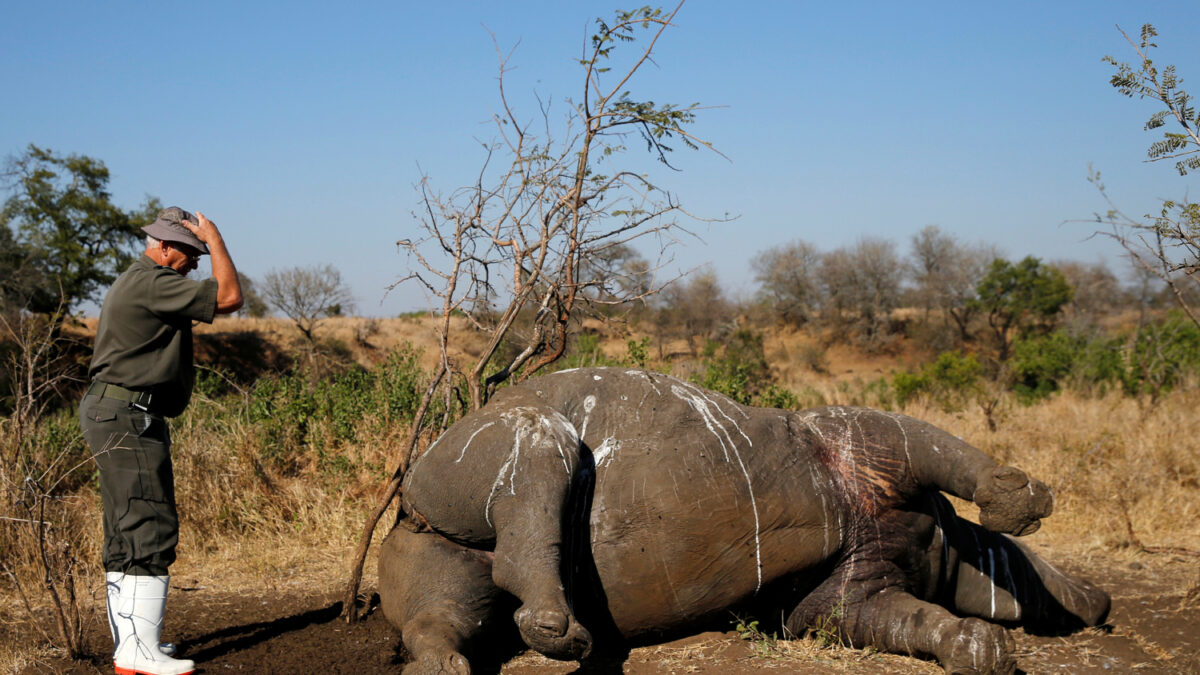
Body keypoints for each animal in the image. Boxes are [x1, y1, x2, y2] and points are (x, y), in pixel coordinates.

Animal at [379, 365, 1108, 667]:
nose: (1100, 603)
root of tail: (405, 501)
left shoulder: (843, 598)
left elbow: (897, 617)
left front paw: (979, 646)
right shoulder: (859, 439)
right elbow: (928, 443)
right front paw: (1020, 503)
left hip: (428, 531)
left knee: (448, 603)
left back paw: (449, 660)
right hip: (460, 455)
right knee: (537, 440)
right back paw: (558, 631)